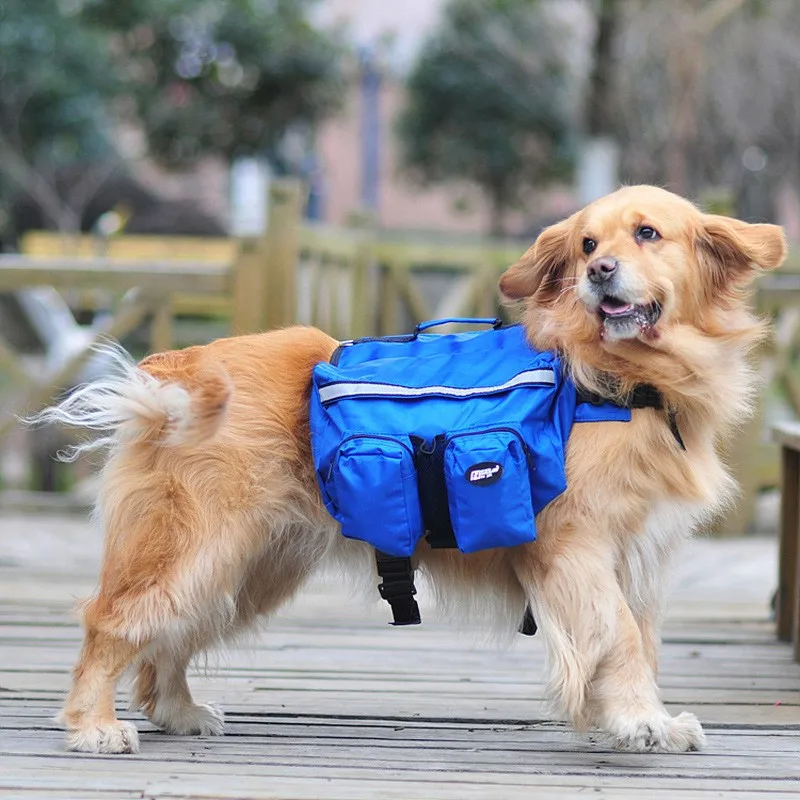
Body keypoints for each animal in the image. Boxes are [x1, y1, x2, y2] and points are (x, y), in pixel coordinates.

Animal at [40, 184, 784, 752]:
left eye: (647, 234)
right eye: (586, 247)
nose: (598, 273)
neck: (627, 382)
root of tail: (182, 367)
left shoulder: (642, 556)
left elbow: (640, 640)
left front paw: (640, 719)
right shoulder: (576, 547)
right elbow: (622, 635)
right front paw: (637, 720)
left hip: (249, 565)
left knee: (171, 636)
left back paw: (177, 710)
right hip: (195, 548)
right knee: (112, 622)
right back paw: (94, 725)